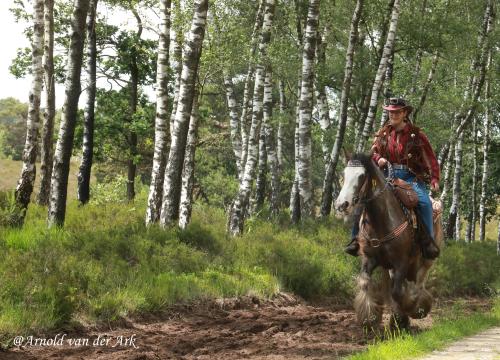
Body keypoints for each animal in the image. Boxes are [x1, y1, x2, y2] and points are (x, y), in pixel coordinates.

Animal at [334, 152, 444, 330]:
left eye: (361, 176)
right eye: (344, 174)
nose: (342, 204)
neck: (382, 219)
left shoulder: (401, 262)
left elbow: (398, 292)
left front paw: (405, 315)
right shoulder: (370, 259)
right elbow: (365, 283)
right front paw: (370, 318)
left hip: (426, 260)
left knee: (419, 283)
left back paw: (420, 307)